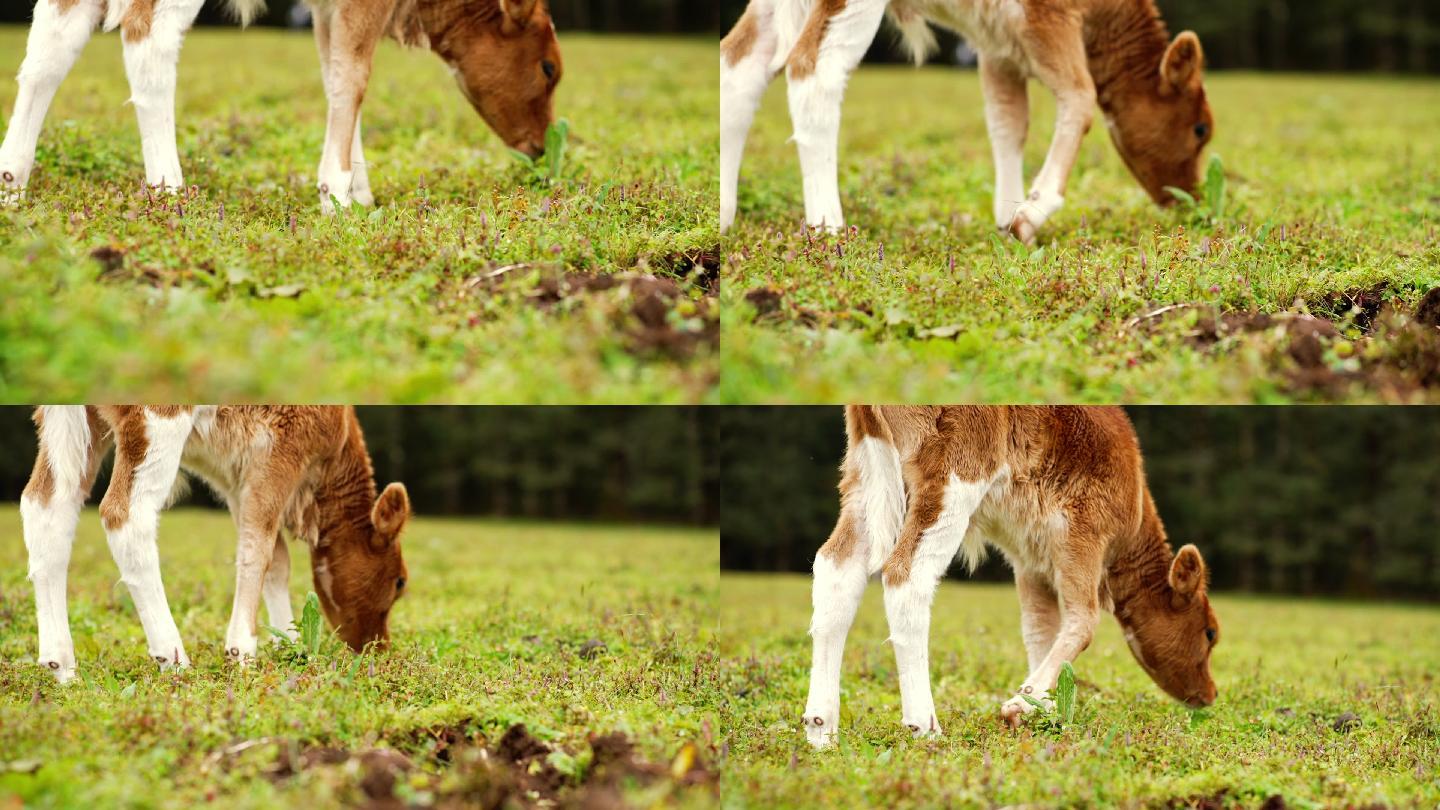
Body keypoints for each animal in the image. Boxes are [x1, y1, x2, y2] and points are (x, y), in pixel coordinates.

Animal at [0, 0, 561, 211]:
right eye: (549, 68)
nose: (540, 148)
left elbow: (335, 76)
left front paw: (357, 192)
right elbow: (354, 78)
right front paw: (336, 197)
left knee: (50, 44)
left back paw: (12, 183)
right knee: (149, 40)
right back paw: (171, 193)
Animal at [19, 403, 408, 680]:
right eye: (400, 582)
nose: (377, 649)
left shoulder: (238, 481)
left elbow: (276, 558)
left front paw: (290, 644)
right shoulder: (281, 451)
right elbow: (258, 551)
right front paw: (242, 652)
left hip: (70, 422)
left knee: (45, 507)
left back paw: (61, 664)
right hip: (157, 417)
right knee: (125, 514)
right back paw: (173, 658)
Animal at [720, 0, 1215, 242]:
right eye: (1201, 129)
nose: (1193, 200)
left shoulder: (999, 45)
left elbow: (1008, 120)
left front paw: (1009, 216)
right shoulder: (1048, 14)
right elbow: (1079, 97)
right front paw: (1031, 213)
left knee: (739, 64)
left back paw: (723, 219)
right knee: (813, 71)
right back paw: (829, 230)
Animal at [806, 403, 1221, 743]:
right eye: (1210, 633)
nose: (1211, 693)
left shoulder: (1031, 557)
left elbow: (1040, 629)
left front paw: (1043, 711)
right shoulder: (1084, 531)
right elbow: (1083, 621)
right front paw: (1022, 705)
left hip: (866, 467)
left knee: (837, 567)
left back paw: (821, 728)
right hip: (955, 467)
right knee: (906, 575)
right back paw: (924, 726)